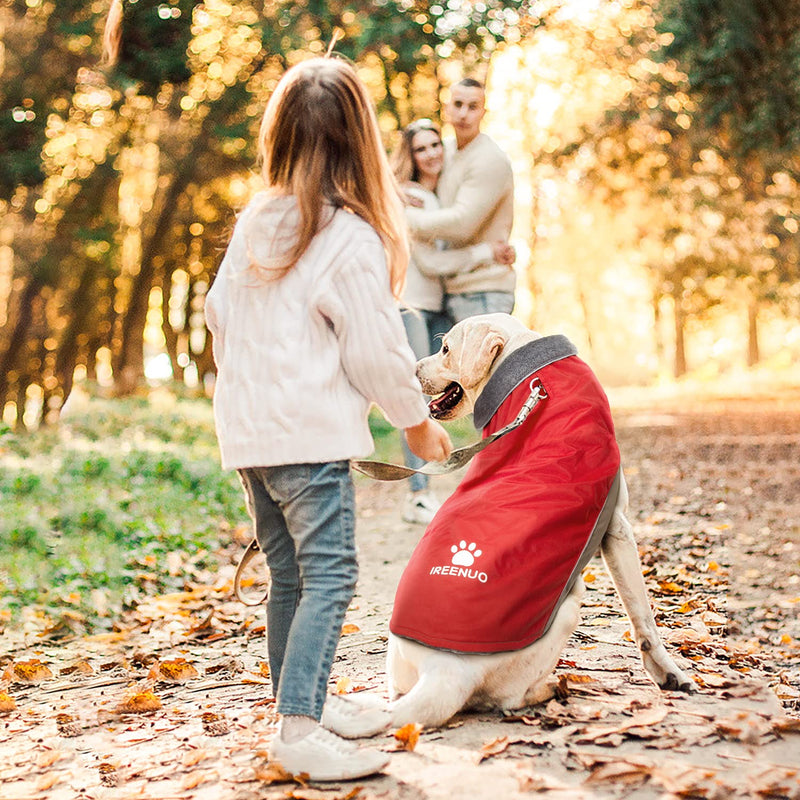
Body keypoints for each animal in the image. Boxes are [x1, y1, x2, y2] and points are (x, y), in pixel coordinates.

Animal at [384, 316, 692, 728]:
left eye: (445, 349)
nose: (411, 370)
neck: (532, 383)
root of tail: (444, 673)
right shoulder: (617, 526)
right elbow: (643, 616)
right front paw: (669, 672)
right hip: (570, 602)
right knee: (508, 699)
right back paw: (552, 688)